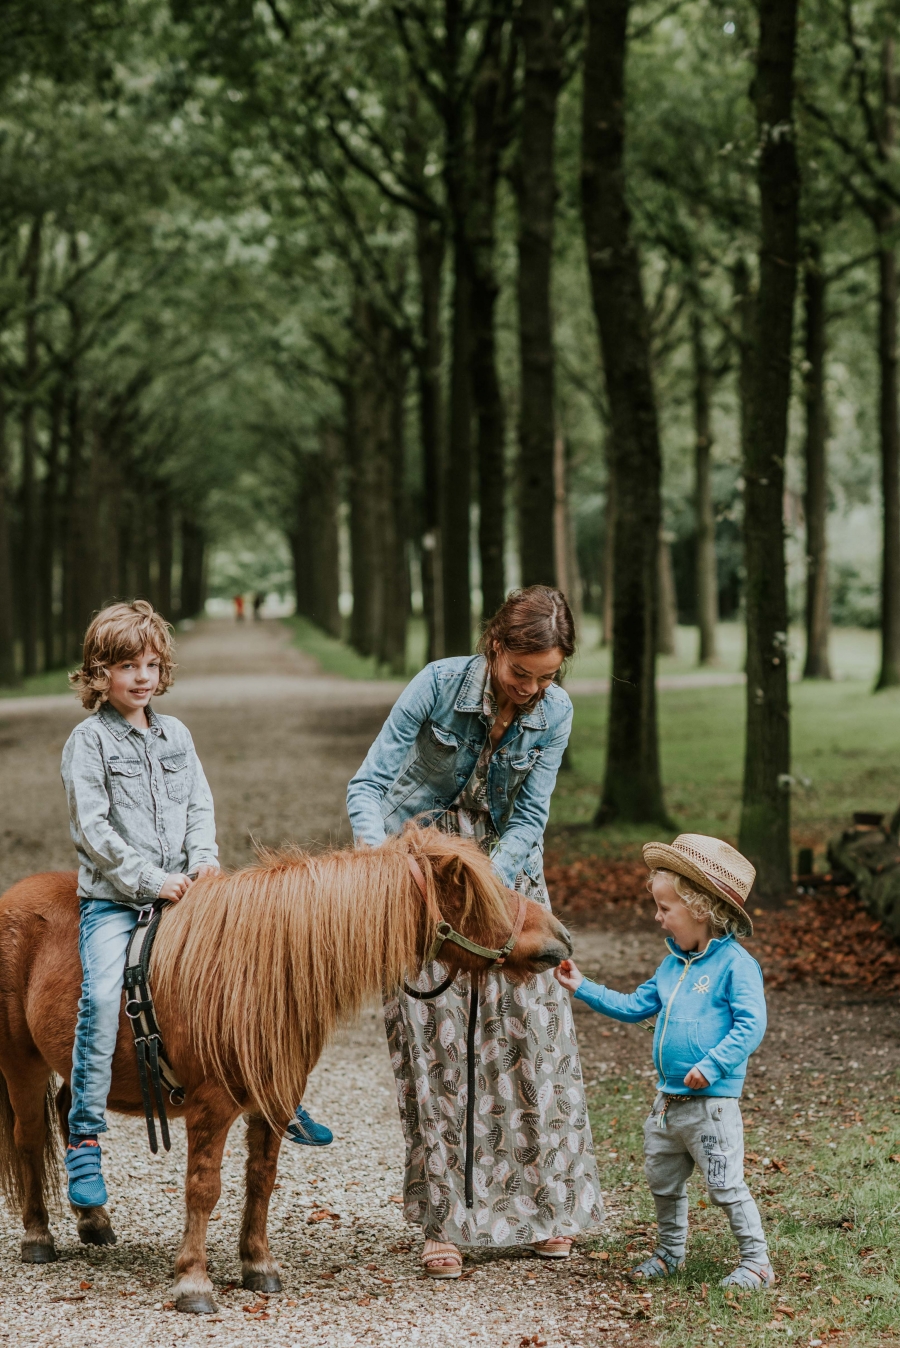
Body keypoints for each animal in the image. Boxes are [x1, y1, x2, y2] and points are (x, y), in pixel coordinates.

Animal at [0, 824, 568, 1310]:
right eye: (480, 896)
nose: (559, 939)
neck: (253, 969)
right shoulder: (210, 1108)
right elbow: (203, 1188)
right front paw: (193, 1281)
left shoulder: (273, 1102)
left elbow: (261, 1180)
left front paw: (258, 1265)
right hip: (22, 1066)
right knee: (30, 1137)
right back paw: (38, 1235)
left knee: (71, 1113)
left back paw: (93, 1218)